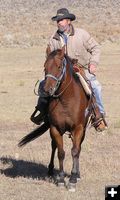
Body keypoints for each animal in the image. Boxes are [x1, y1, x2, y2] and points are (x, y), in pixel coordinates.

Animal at [19, 46, 90, 191]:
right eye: (45, 67)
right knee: (54, 147)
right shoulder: (55, 128)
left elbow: (75, 151)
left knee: (78, 147)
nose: (47, 89)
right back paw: (51, 170)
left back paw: (77, 174)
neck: (66, 101)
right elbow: (61, 152)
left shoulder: (78, 128)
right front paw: (61, 179)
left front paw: (73, 179)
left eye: (58, 66)